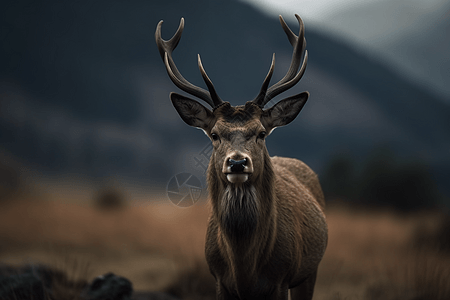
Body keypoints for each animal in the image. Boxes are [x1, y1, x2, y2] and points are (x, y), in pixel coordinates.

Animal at [156, 14, 328, 300]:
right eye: (214, 134)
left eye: (261, 133)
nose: (237, 162)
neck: (244, 266)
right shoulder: (219, 279)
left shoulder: (282, 278)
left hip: (310, 270)